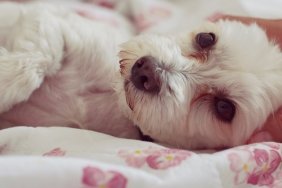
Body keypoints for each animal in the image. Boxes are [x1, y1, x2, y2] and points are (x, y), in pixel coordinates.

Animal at [0, 1, 282, 148]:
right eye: (205, 38)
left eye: (224, 108)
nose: (146, 70)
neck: (111, 96)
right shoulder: (55, 21)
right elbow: (37, 58)